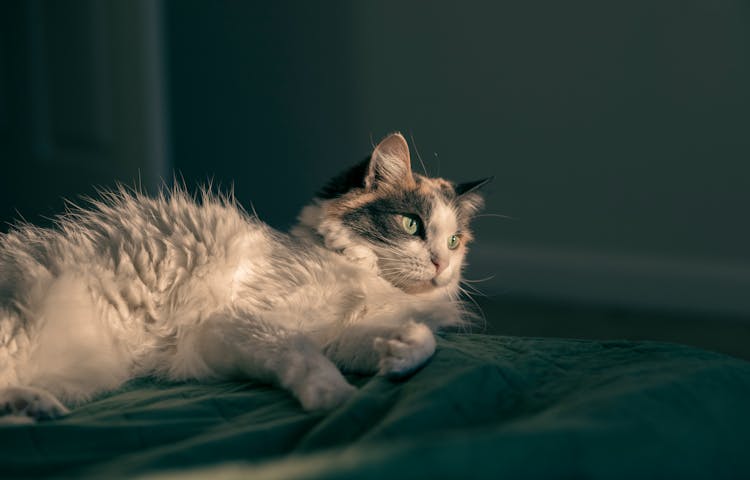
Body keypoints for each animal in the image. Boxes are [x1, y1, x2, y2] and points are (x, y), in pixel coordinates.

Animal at [0, 134, 490, 420]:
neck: (369, 279)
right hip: (26, 325)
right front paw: (334, 396)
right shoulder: (239, 322)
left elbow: (421, 342)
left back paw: (34, 408)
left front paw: (400, 353)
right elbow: (305, 356)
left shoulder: (332, 333)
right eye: (411, 224)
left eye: (454, 241)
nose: (441, 265)